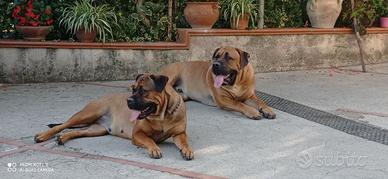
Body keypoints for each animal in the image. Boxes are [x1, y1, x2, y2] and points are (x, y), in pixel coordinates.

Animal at [34, 73, 194, 160]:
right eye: (133, 89)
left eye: (143, 91)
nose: (128, 100)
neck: (163, 115)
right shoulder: (138, 134)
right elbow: (149, 140)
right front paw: (154, 149)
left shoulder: (179, 133)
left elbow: (185, 142)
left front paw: (187, 150)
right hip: (88, 113)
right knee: (63, 125)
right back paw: (42, 136)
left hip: (97, 129)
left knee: (78, 131)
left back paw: (62, 138)